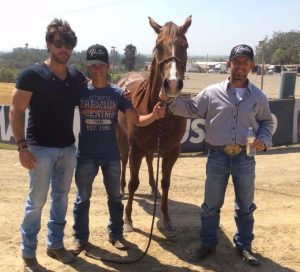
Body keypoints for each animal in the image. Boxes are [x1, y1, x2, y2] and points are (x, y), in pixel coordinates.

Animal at [117, 15, 192, 231]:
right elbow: (134, 182)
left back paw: (152, 187)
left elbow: (166, 182)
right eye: (158, 45)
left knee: (150, 160)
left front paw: (166, 218)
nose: (173, 84)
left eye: (185, 45)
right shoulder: (135, 149)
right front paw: (127, 219)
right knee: (123, 161)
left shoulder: (172, 151)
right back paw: (121, 189)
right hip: (122, 139)